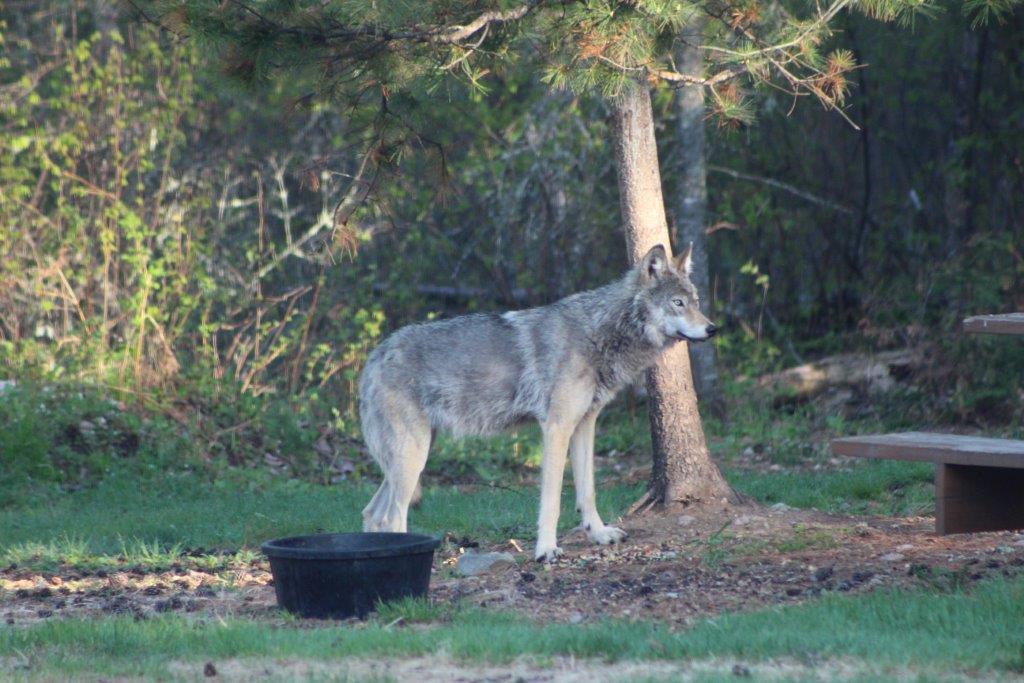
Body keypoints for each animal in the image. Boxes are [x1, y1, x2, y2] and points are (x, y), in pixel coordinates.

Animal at [359, 243, 717, 561]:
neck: (597, 332)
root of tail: (374, 357)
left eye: (697, 302)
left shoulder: (584, 425)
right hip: (413, 456)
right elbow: (552, 500)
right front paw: (545, 550)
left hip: (413, 456)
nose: (712, 329)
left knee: (371, 513)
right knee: (392, 516)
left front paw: (599, 534)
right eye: (678, 303)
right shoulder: (556, 428)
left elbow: (587, 491)